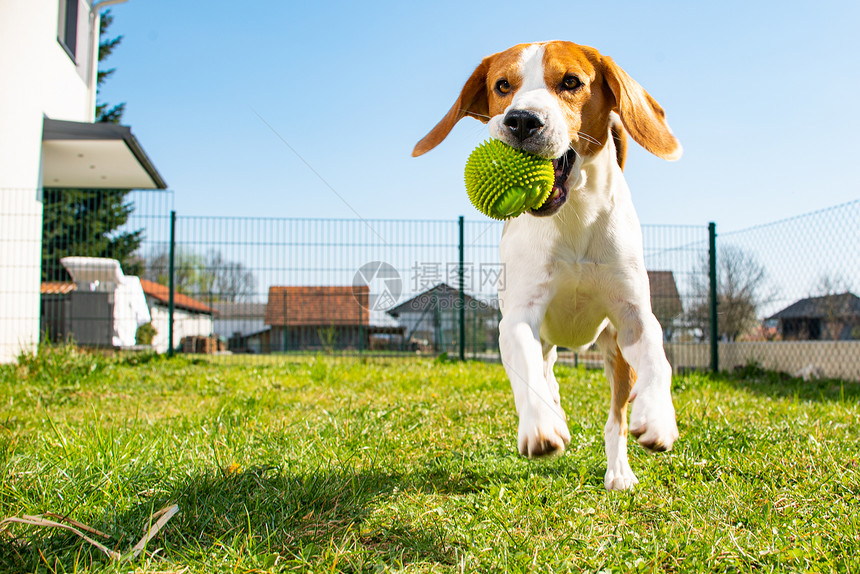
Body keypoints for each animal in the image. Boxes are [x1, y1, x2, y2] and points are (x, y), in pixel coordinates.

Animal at [414, 40, 680, 492]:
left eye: (571, 82)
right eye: (503, 86)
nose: (522, 120)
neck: (573, 217)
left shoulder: (633, 317)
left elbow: (658, 361)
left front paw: (658, 415)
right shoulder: (518, 319)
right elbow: (526, 367)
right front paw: (541, 426)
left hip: (614, 352)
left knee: (615, 417)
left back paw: (619, 471)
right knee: (545, 371)